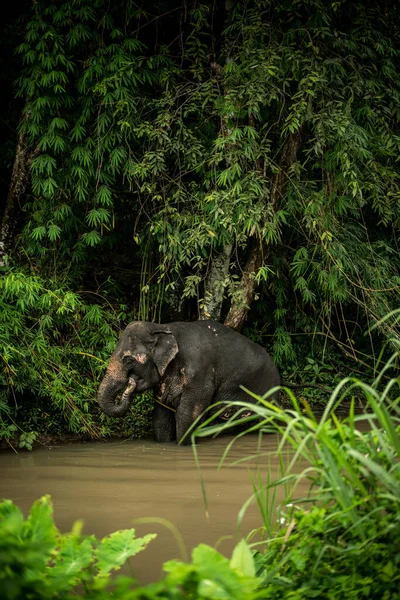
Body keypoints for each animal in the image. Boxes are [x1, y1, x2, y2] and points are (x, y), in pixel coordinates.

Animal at [97, 322, 280, 442]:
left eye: (128, 360)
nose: (130, 383)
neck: (163, 327)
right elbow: (160, 419)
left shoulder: (200, 375)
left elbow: (188, 416)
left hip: (268, 389)